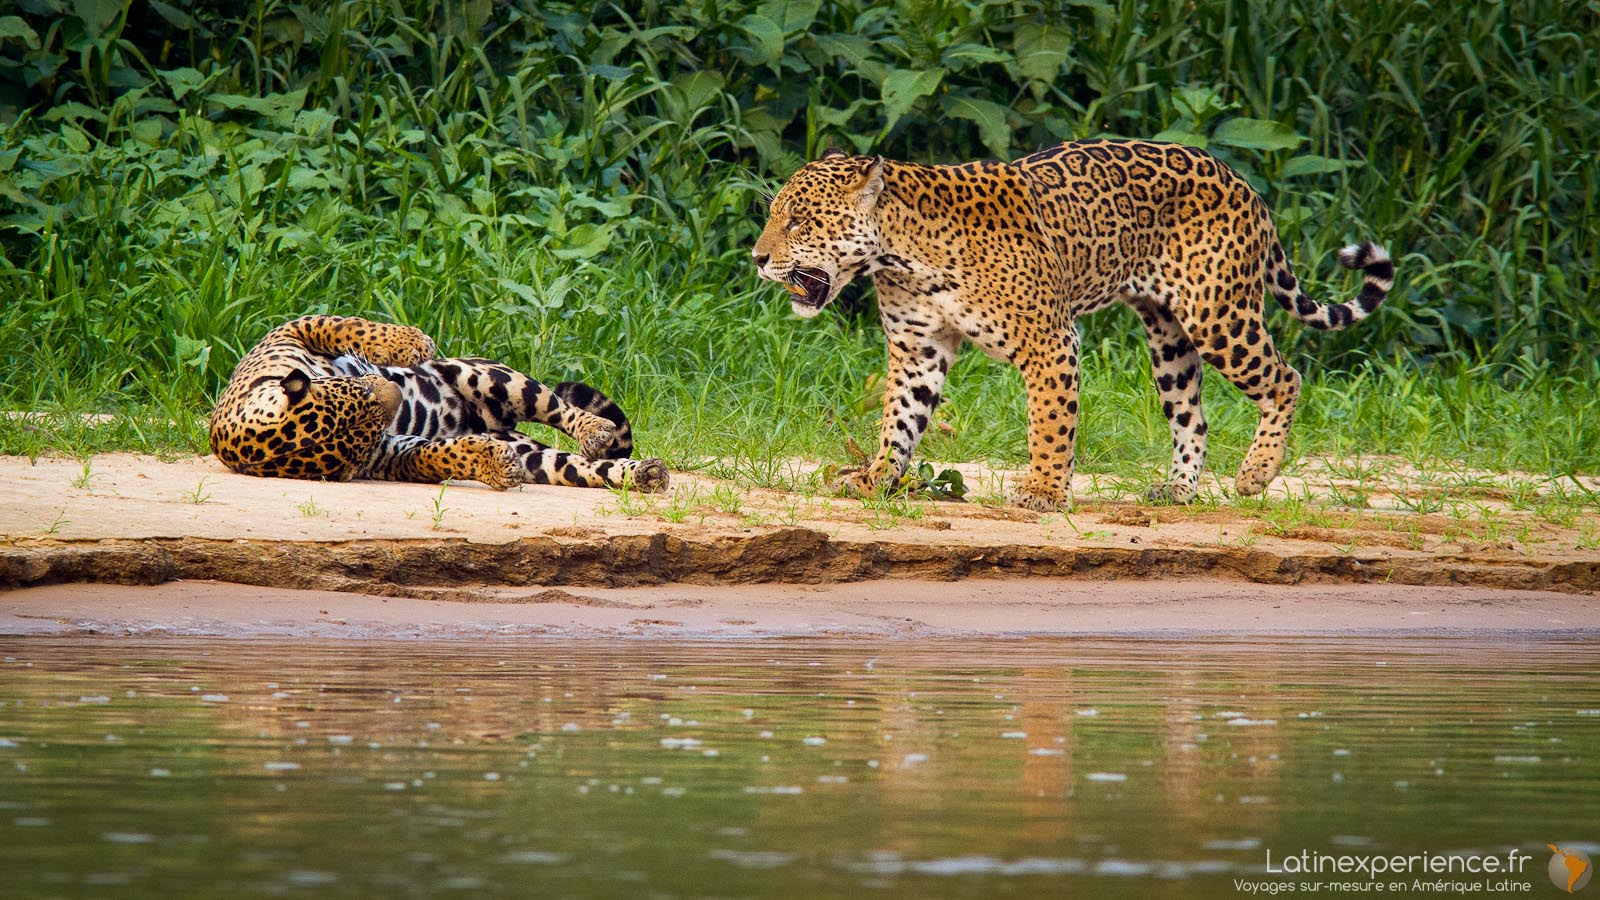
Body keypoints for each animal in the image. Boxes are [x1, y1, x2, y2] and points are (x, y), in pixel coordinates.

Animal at [208, 314, 669, 493]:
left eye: (360, 390)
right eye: (367, 431)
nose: (394, 395)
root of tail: (486, 420)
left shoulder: (287, 332)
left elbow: (341, 324)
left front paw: (409, 343)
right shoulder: (390, 454)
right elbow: (438, 456)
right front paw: (492, 464)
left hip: (490, 377)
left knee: (558, 406)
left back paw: (596, 430)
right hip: (532, 453)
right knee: (581, 466)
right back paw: (645, 475)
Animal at [752, 141, 1394, 511]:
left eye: (800, 221)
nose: (758, 258)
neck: (902, 254)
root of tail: (1243, 182)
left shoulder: (1050, 341)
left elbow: (1051, 423)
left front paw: (1042, 490)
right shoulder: (918, 350)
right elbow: (899, 422)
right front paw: (876, 478)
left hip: (1218, 315)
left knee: (1286, 378)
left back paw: (1256, 474)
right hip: (1168, 337)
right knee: (1193, 415)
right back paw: (1178, 490)